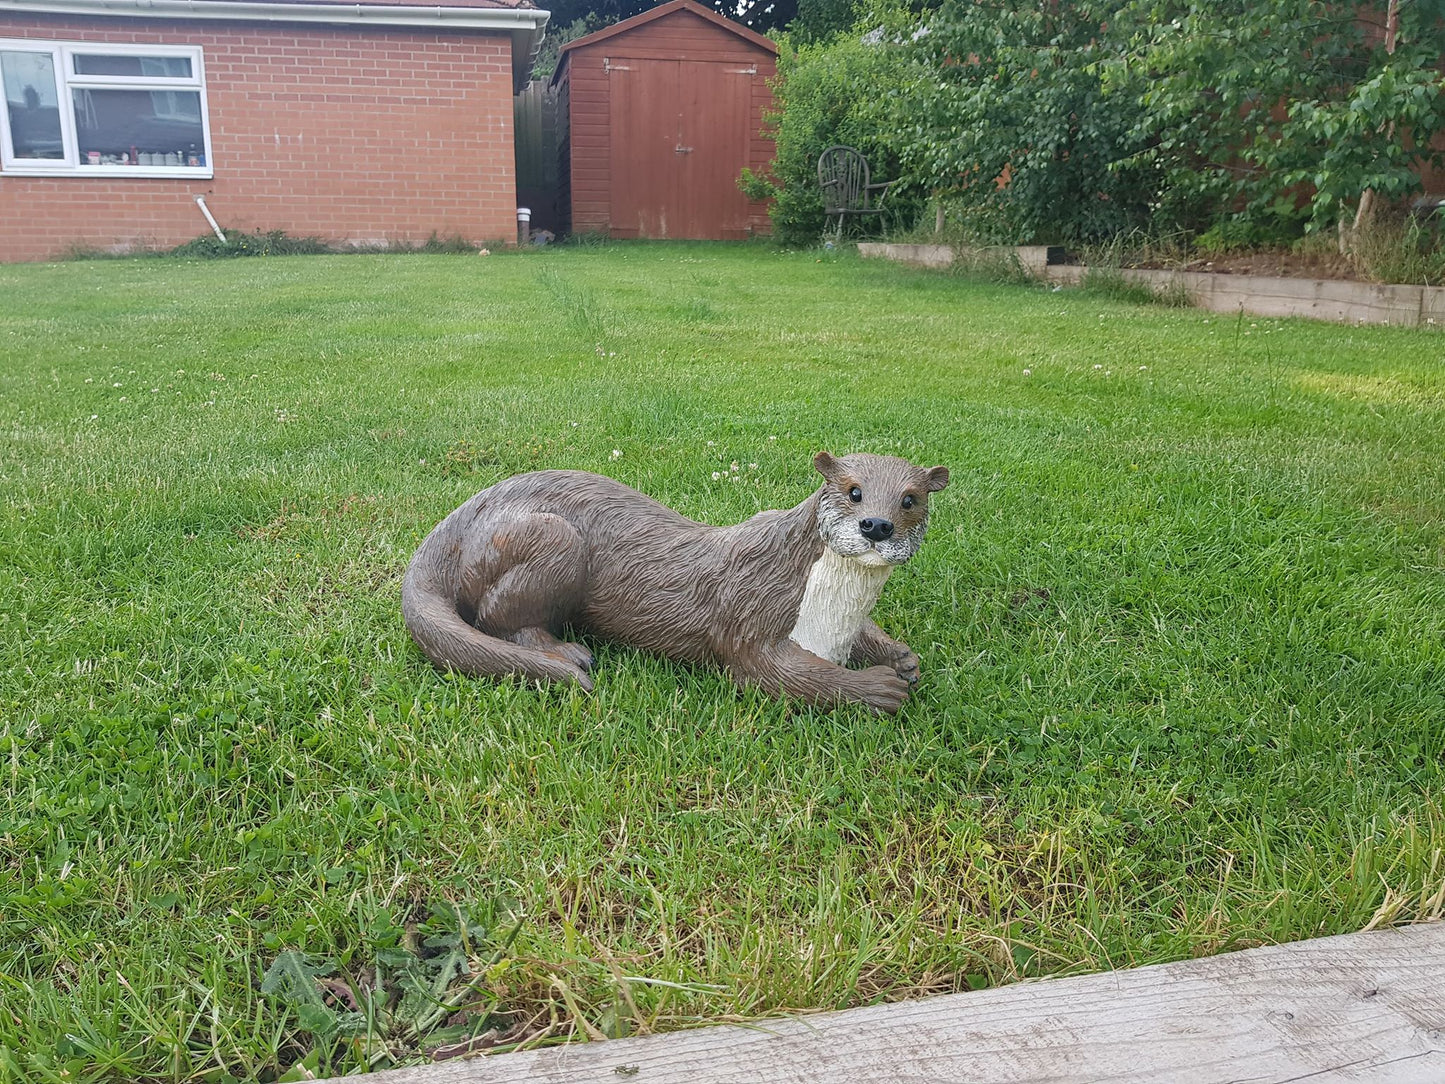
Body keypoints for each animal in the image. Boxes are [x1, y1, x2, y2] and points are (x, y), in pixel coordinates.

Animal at [401, 451, 949, 714]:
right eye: (854, 492)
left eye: (910, 499)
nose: (876, 526)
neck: (828, 612)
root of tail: (465, 512)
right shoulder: (752, 607)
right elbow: (776, 673)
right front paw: (877, 688)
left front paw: (901, 658)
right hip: (552, 538)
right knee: (493, 617)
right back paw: (567, 654)